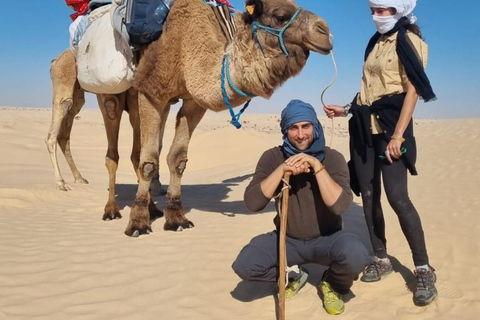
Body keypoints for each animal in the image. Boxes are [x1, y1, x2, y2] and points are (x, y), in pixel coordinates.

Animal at [46, 0, 330, 236]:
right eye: (280, 15)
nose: (325, 31)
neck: (189, 45)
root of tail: (57, 59)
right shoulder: (153, 93)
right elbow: (149, 161)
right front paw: (137, 223)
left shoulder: (193, 102)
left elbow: (176, 158)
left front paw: (175, 217)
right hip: (99, 92)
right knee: (105, 148)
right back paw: (104, 205)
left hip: (129, 100)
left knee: (126, 148)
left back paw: (150, 207)